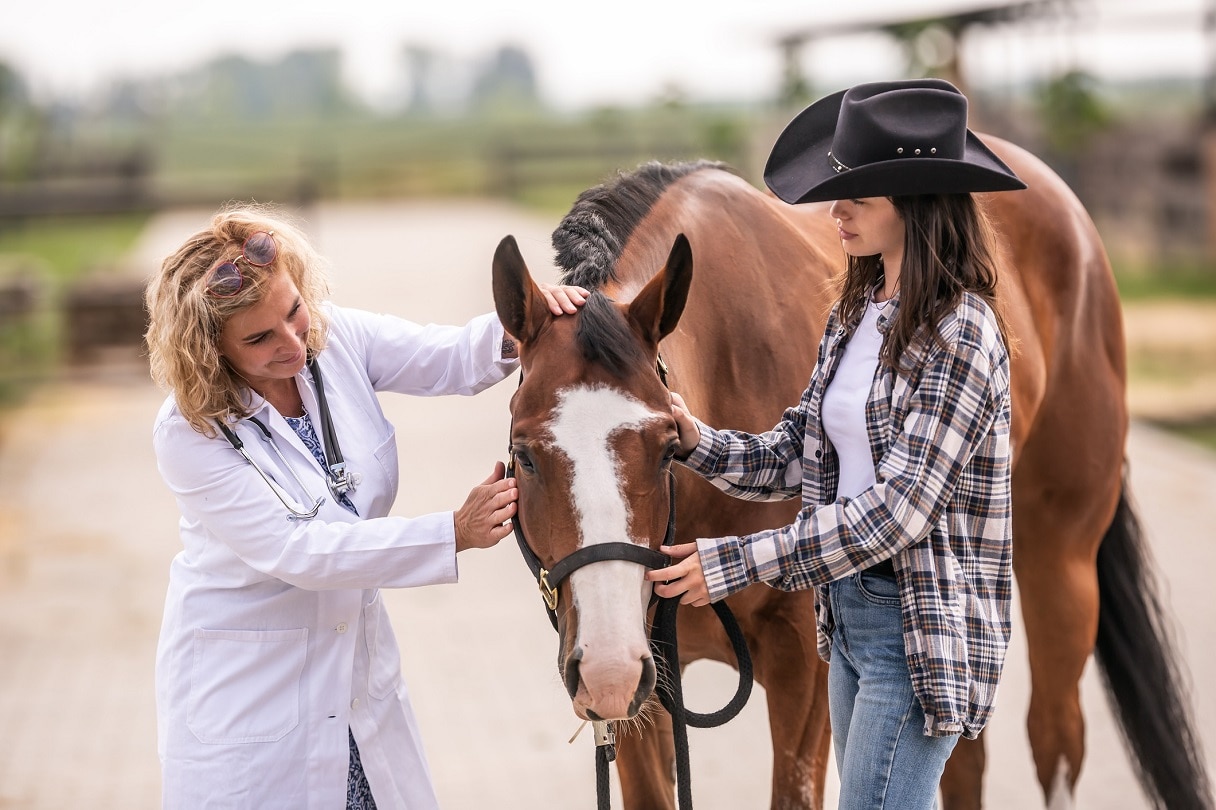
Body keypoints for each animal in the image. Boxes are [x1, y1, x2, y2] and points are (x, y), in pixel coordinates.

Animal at [488, 141, 1211, 802]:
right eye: (524, 454)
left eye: (667, 448)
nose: (607, 669)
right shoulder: (647, 687)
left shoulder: (804, 676)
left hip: (1061, 568)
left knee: (1055, 740)